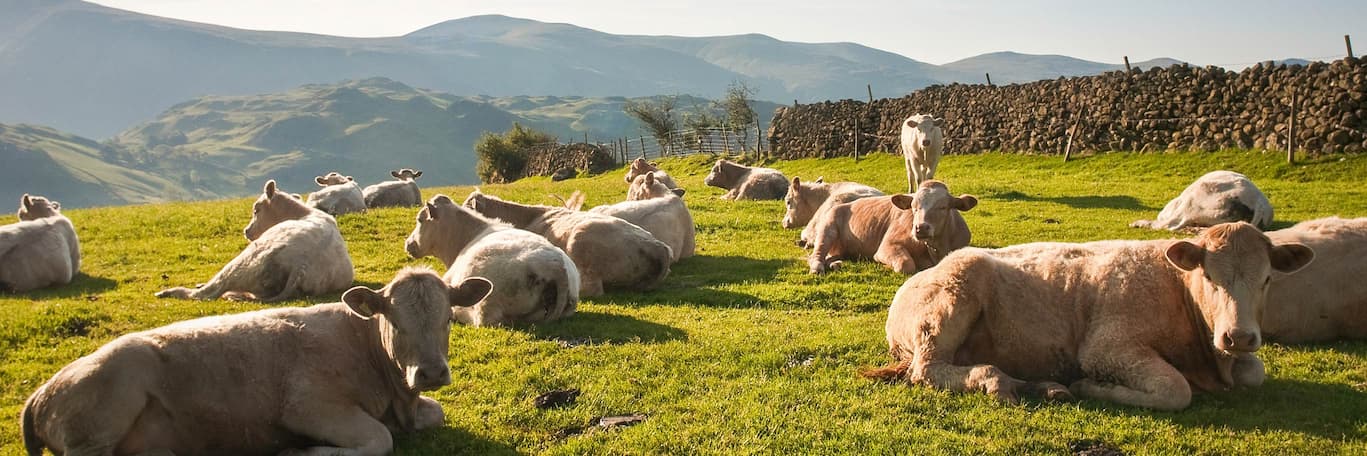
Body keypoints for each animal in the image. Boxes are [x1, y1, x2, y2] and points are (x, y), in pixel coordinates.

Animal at [22, 267, 492, 456]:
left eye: (448, 317)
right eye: (393, 320)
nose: (431, 372)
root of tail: (41, 391)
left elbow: (437, 411)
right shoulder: (308, 407)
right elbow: (380, 439)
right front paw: (298, 451)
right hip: (100, 420)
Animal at [156, 180, 355, 302]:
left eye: (256, 209)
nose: (246, 231)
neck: (304, 213)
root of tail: (301, 266)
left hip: (240, 263)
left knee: (204, 293)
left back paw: (168, 292)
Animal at [807, 180, 976, 275]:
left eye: (943, 207)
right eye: (913, 207)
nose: (920, 228)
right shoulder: (887, 246)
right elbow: (906, 264)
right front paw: (884, 266)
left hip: (840, 249)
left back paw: (835, 264)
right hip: (827, 230)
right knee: (816, 255)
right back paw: (817, 268)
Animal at [864, 222, 1314, 410]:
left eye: (1268, 279)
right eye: (1208, 276)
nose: (1239, 337)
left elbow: (1255, 372)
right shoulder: (1106, 348)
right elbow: (1175, 391)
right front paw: (1093, 387)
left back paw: (1044, 387)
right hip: (949, 305)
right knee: (928, 371)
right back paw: (999, 381)